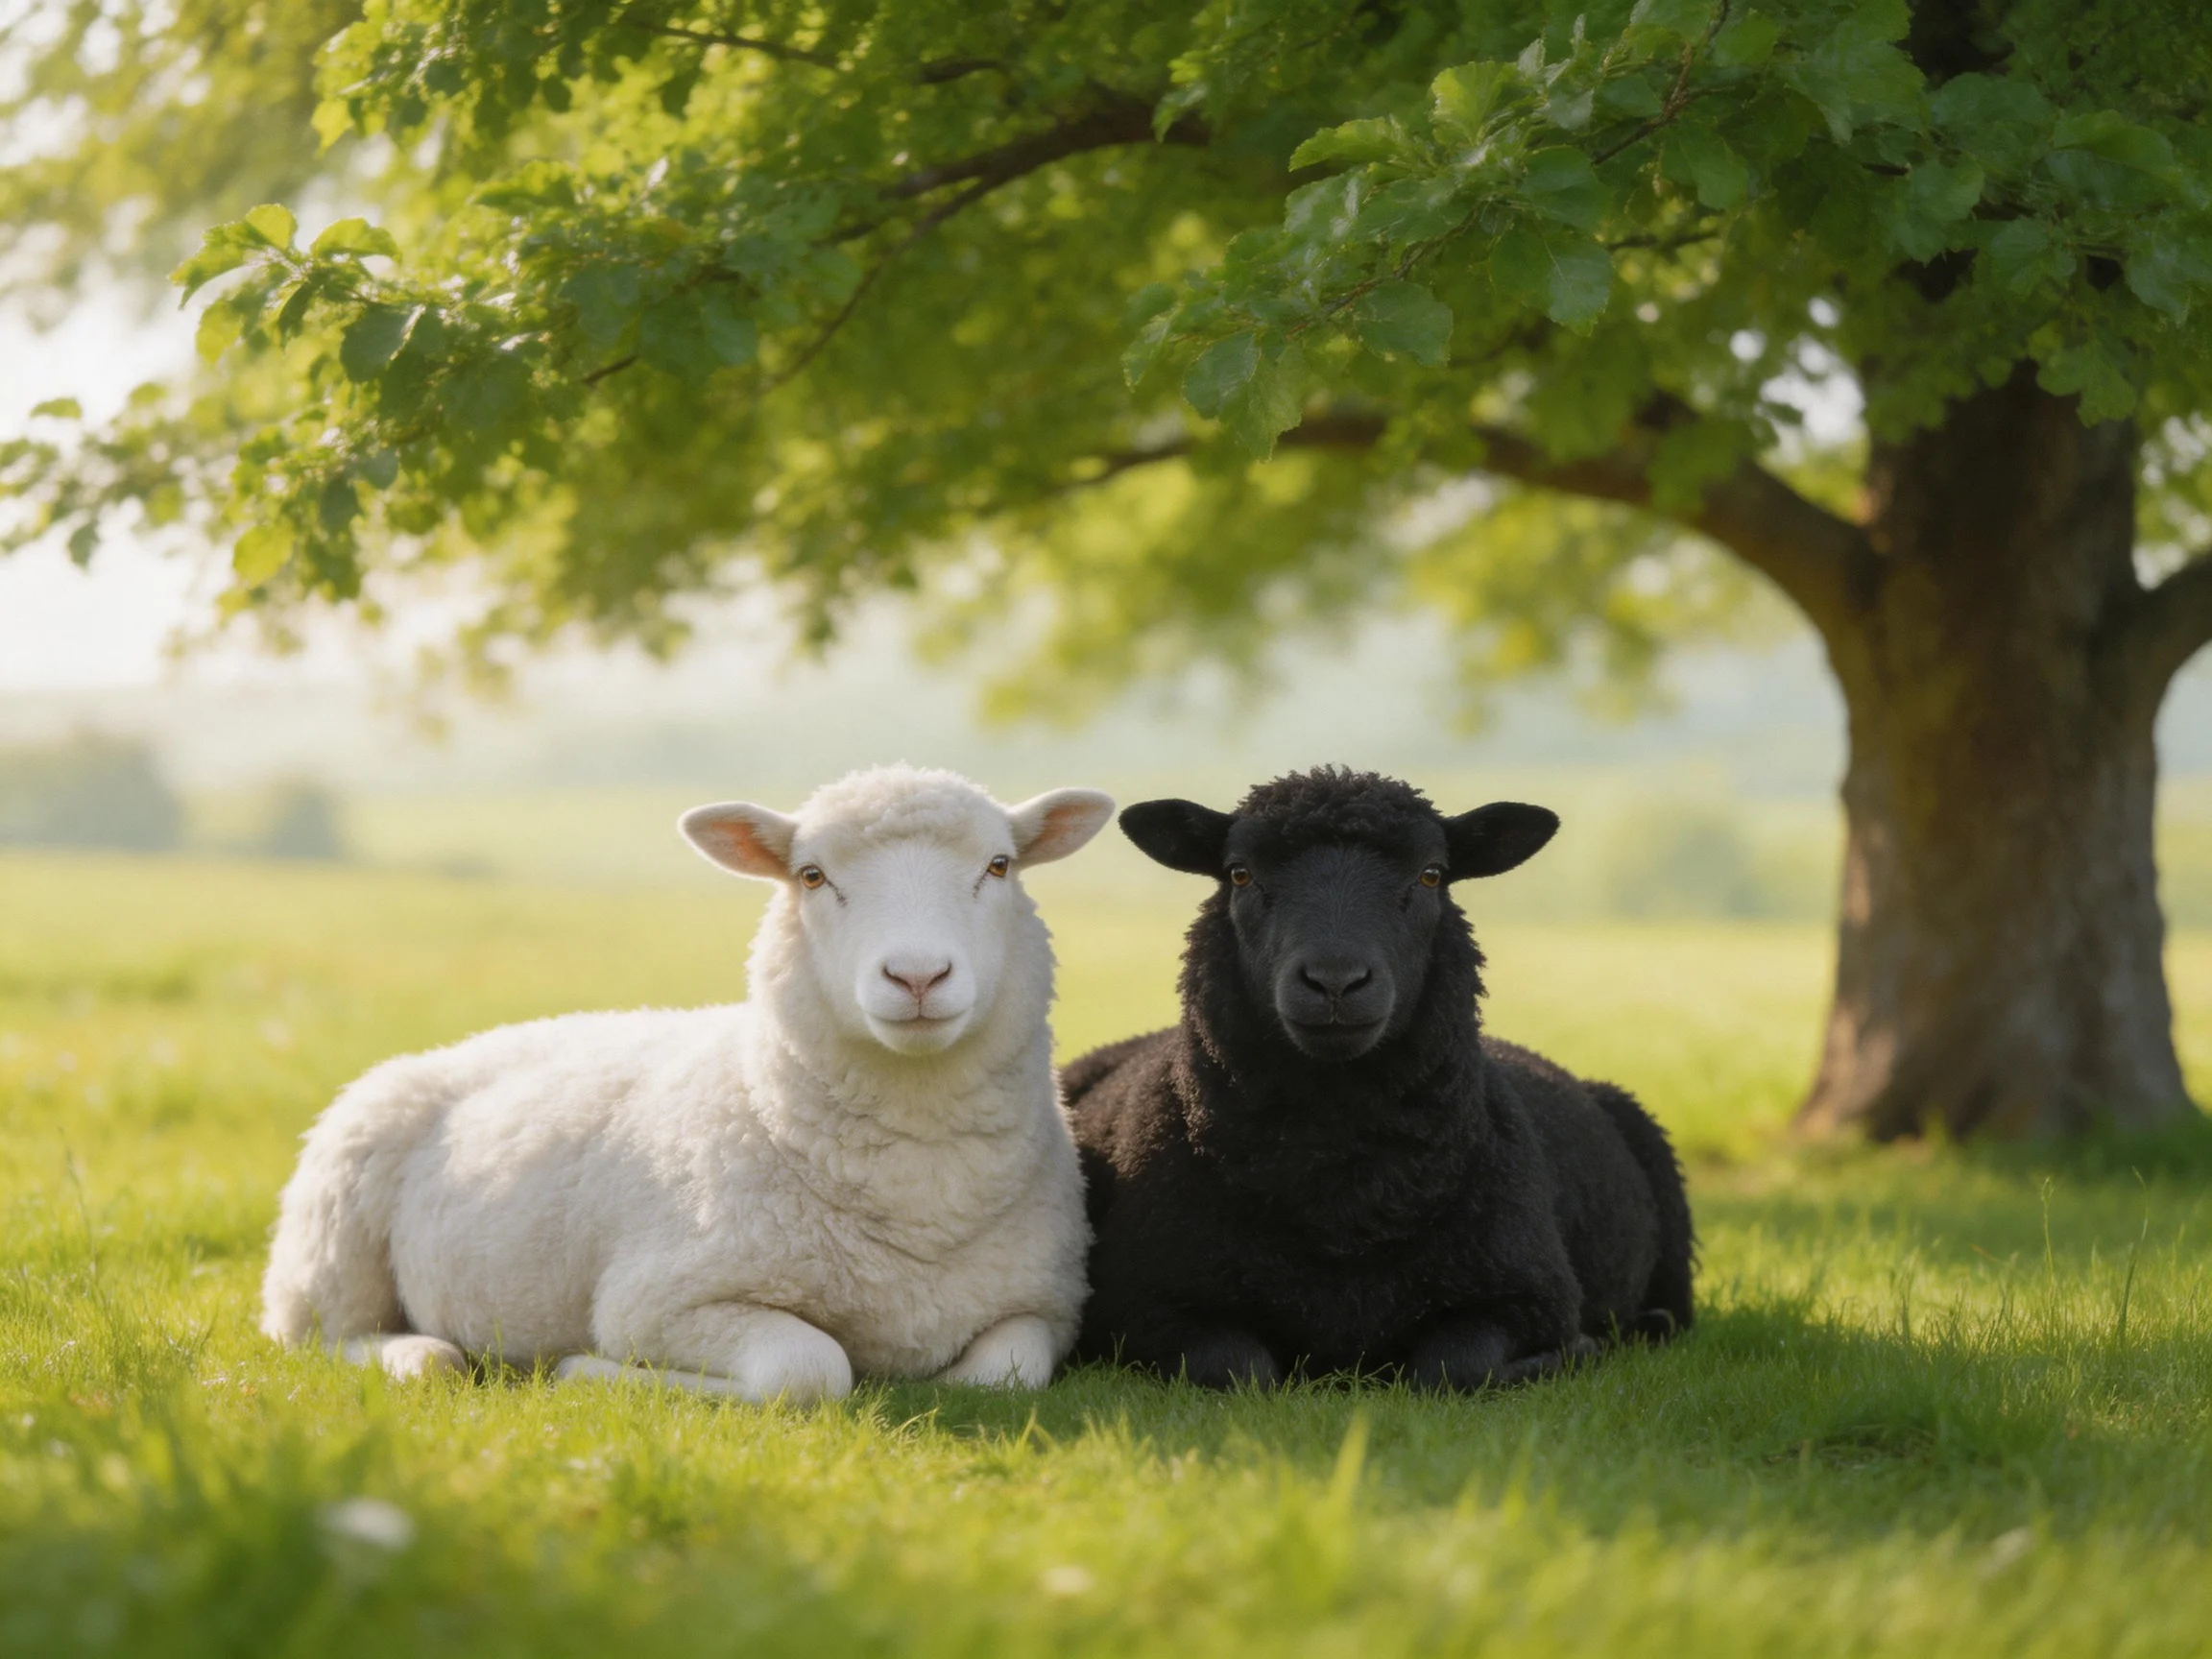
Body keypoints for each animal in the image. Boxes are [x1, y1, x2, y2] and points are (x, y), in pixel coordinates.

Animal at [260, 764, 1114, 1402]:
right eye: (812, 876)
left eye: (998, 866)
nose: (917, 975)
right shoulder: (660, 1300)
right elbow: (809, 1371)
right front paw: (585, 1370)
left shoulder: (1046, 1306)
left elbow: (1002, 1376)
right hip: (329, 1242)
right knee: (316, 1337)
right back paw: (421, 1356)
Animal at [1063, 766, 1693, 1390]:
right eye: (1240, 873)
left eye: (1432, 874)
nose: (1335, 980)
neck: (1342, 1199)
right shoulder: (1142, 1306)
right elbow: (1243, 1370)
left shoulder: (1530, 1296)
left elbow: (1455, 1368)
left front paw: (1578, 1348)